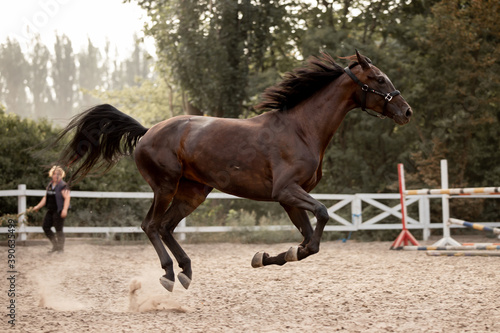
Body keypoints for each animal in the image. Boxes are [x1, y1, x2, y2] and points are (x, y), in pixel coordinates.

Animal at [55, 50, 414, 290]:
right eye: (379, 79)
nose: (406, 111)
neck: (301, 129)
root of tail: (147, 132)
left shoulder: (289, 198)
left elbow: (309, 242)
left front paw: (271, 256)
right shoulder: (287, 191)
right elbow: (322, 216)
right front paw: (279, 254)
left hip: (193, 192)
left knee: (167, 227)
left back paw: (185, 271)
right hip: (166, 186)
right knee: (151, 226)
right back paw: (169, 274)